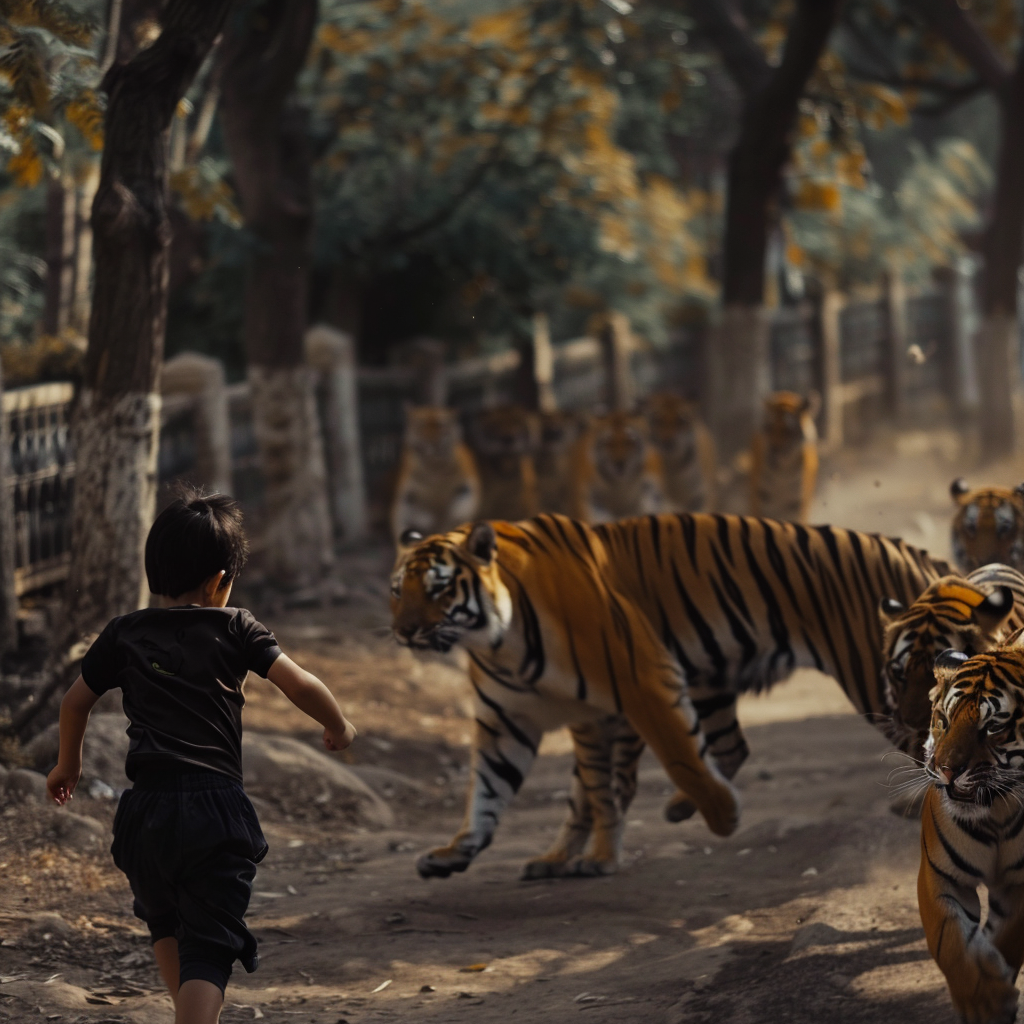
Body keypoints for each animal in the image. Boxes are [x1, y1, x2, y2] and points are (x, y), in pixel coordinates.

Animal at [749, 389, 819, 524]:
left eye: (788, 431)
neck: (782, 475)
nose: (773, 453)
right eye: (769, 428)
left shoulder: (796, 505)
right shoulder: (759, 498)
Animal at [917, 638, 1024, 1024]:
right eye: (943, 721)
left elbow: (1008, 935)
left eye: (992, 727)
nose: (947, 770)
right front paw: (984, 1002)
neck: (996, 812)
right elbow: (949, 943)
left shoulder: (1019, 883)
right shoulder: (940, 875)